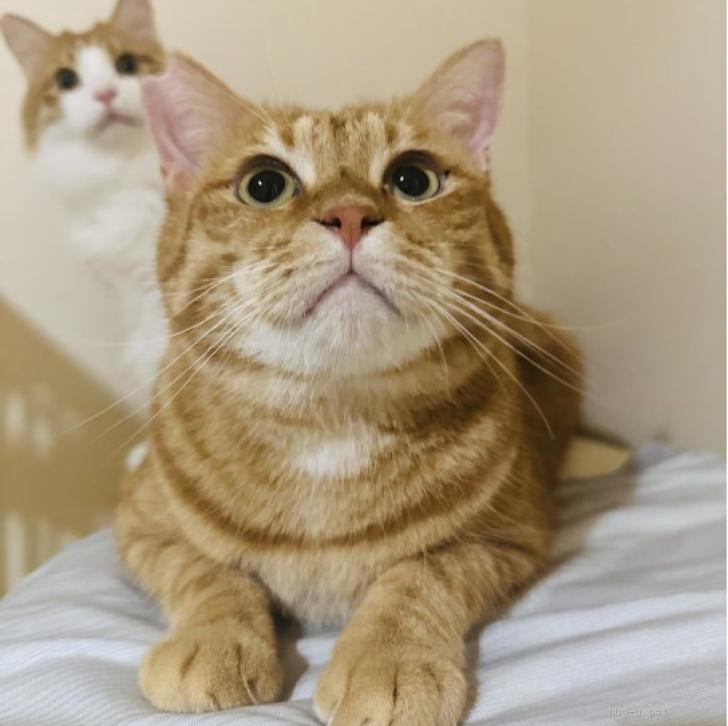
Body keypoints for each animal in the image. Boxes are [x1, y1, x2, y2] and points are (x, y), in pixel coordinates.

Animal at [114, 40, 582, 724]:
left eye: (413, 178)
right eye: (264, 184)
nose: (351, 214)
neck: (329, 423)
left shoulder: (513, 536)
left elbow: (418, 575)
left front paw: (390, 661)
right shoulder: (138, 527)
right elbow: (209, 573)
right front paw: (213, 642)